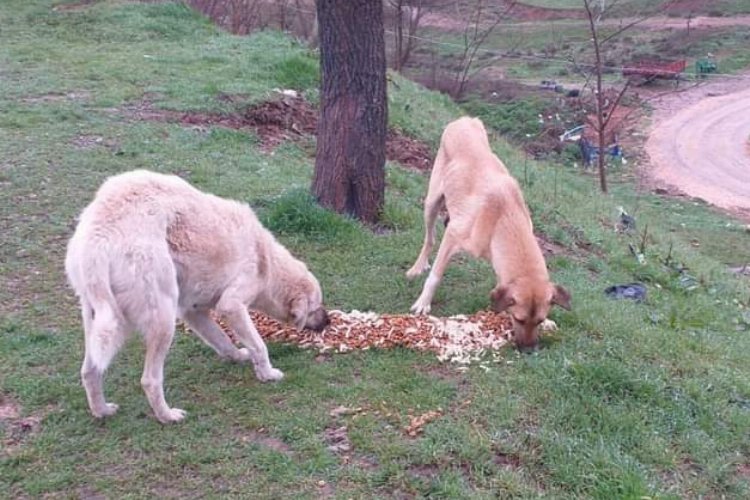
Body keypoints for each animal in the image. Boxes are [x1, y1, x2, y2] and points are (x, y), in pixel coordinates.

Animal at [66, 171, 330, 422]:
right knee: (149, 380)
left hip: (100, 321)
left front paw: (238, 356)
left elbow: (223, 341)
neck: (266, 260)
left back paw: (102, 411)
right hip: (162, 320)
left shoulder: (193, 311)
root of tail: (100, 234)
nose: (328, 322)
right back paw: (167, 416)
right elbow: (259, 346)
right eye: (316, 307)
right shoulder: (232, 305)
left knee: (89, 371)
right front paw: (267, 374)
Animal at [408, 117, 572, 352]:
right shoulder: (452, 237)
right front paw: (423, 303)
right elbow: (435, 277)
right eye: (519, 319)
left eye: (539, 321)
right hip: (431, 203)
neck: (504, 219)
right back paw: (417, 267)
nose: (529, 350)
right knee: (429, 239)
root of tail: (464, 120)